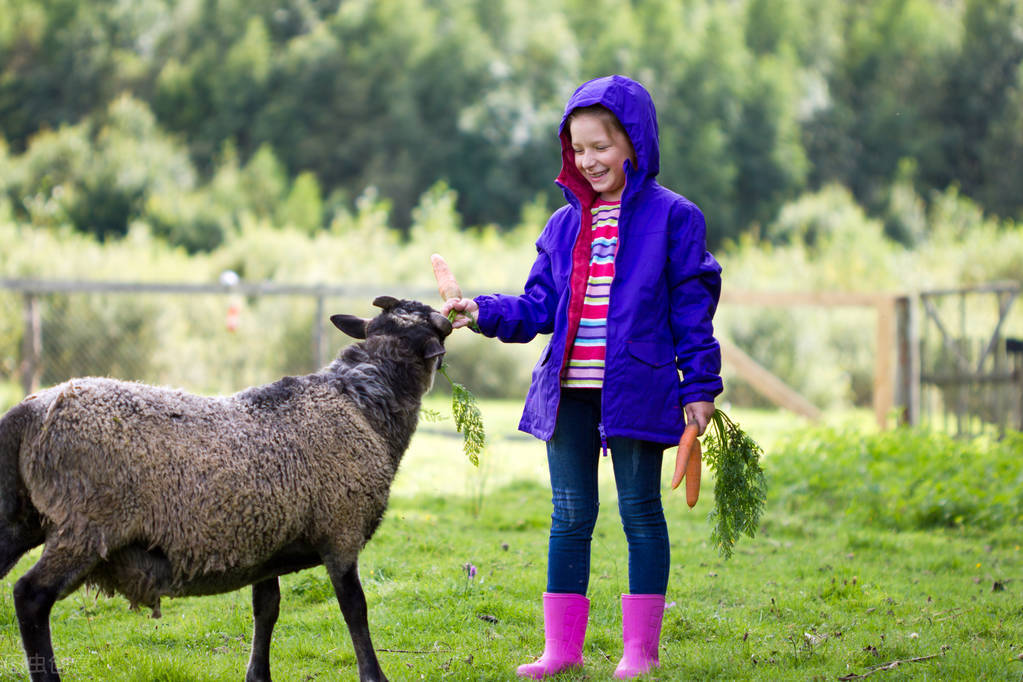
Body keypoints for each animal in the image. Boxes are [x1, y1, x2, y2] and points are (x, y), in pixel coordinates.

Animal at [0, 294, 452, 682]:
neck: (361, 402)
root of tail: (30, 411)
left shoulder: (267, 543)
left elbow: (266, 609)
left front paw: (258, 674)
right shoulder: (340, 530)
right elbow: (354, 608)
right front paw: (374, 675)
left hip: (21, 518)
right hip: (88, 523)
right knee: (30, 596)